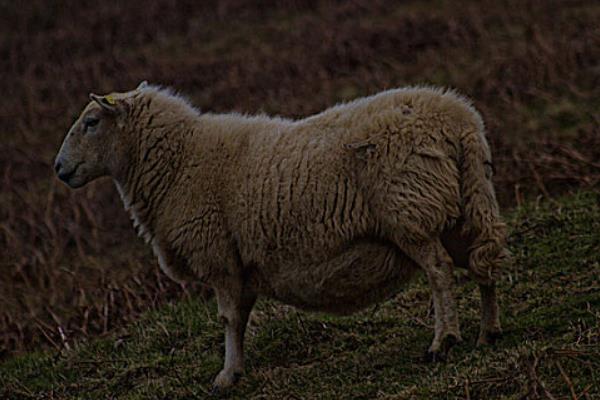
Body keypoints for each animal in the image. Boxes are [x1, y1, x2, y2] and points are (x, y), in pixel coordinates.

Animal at [54, 81, 508, 390]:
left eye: (91, 122)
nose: (59, 169)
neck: (178, 161)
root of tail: (460, 120)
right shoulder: (240, 264)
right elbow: (240, 319)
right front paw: (236, 368)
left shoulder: (218, 256)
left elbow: (227, 318)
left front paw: (226, 376)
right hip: (463, 207)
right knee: (482, 266)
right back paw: (488, 333)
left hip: (412, 213)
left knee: (440, 272)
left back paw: (442, 341)